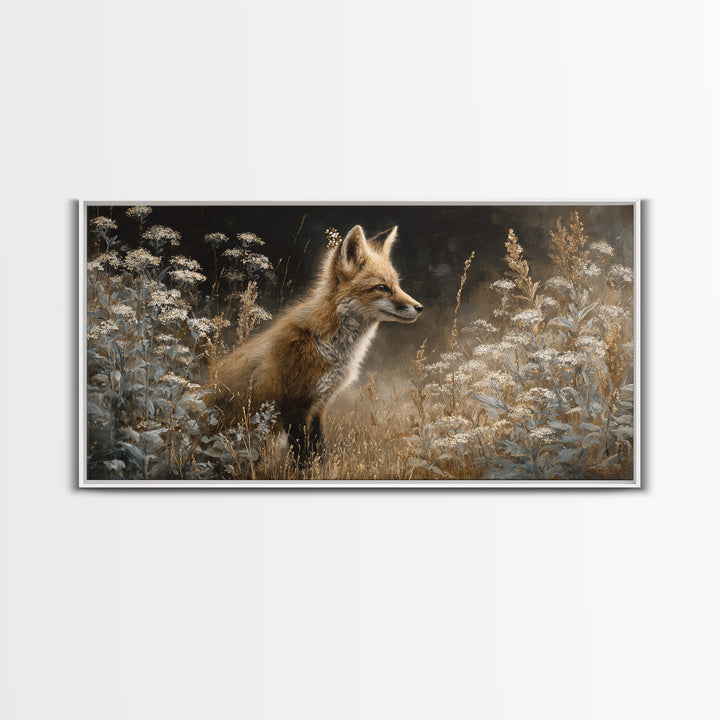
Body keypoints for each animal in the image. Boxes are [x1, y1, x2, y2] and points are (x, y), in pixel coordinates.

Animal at [211, 224, 423, 463]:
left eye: (397, 285)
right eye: (382, 287)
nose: (419, 307)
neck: (327, 345)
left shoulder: (319, 405)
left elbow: (318, 451)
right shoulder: (295, 406)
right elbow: (302, 457)